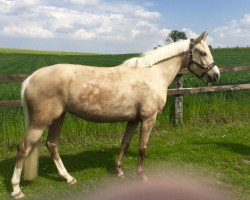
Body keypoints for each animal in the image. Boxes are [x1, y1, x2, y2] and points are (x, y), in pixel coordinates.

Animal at [11, 32, 219, 198]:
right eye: (202, 52)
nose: (216, 76)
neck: (153, 74)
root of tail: (31, 77)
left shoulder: (133, 120)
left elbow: (125, 143)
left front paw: (119, 171)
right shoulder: (148, 119)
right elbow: (142, 148)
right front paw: (141, 176)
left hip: (57, 118)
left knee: (52, 144)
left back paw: (68, 178)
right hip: (39, 123)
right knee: (23, 148)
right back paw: (16, 189)